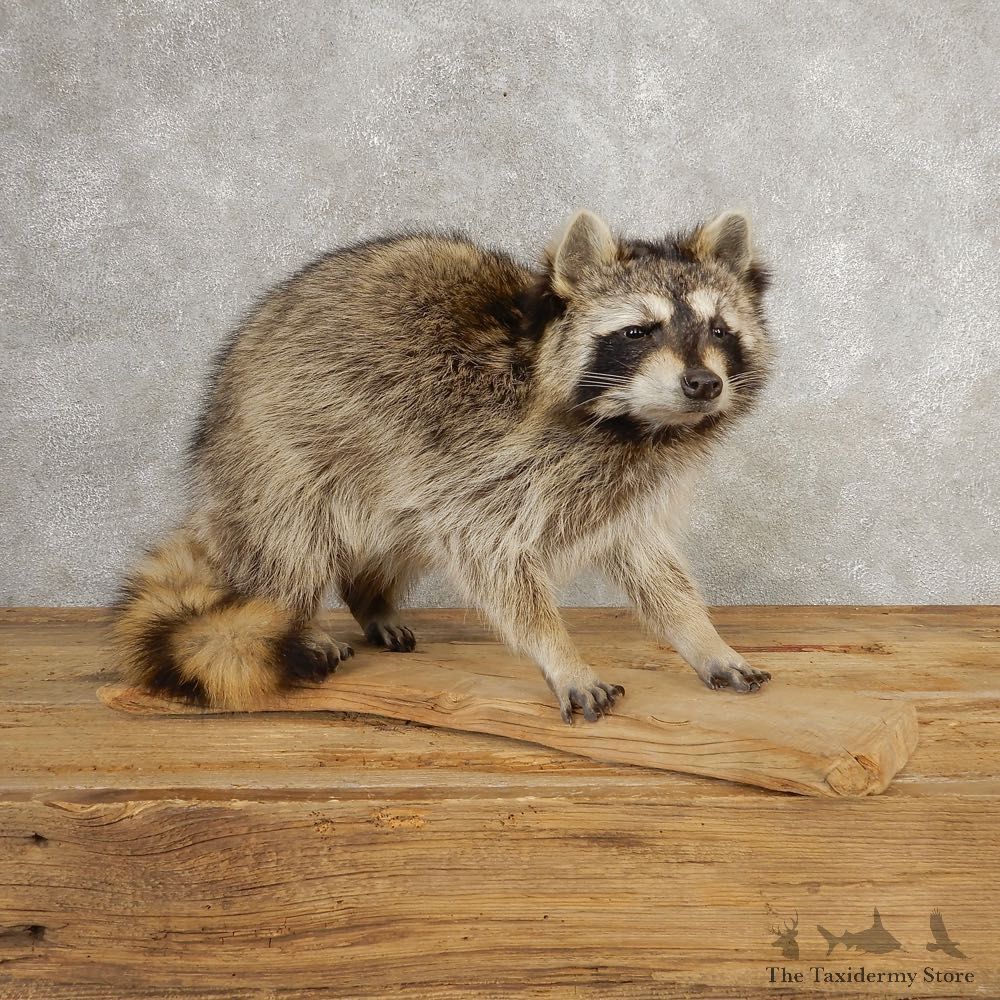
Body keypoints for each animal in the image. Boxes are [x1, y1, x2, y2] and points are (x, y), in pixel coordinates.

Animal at [112, 209, 774, 723]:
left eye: (719, 329)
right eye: (639, 331)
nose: (703, 383)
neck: (631, 426)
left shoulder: (617, 489)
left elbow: (650, 564)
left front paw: (702, 636)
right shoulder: (483, 460)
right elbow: (494, 561)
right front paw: (560, 654)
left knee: (400, 528)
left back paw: (369, 598)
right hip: (277, 450)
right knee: (293, 539)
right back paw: (294, 612)